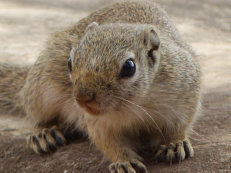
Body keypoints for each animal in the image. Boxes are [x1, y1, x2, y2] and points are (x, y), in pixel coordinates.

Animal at [0, 0, 200, 172]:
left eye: (129, 67)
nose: (82, 97)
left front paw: (175, 144)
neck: (135, 103)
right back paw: (43, 133)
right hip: (41, 89)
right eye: (70, 62)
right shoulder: (98, 123)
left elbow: (180, 125)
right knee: (34, 114)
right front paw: (124, 162)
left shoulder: (184, 93)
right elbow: (108, 143)